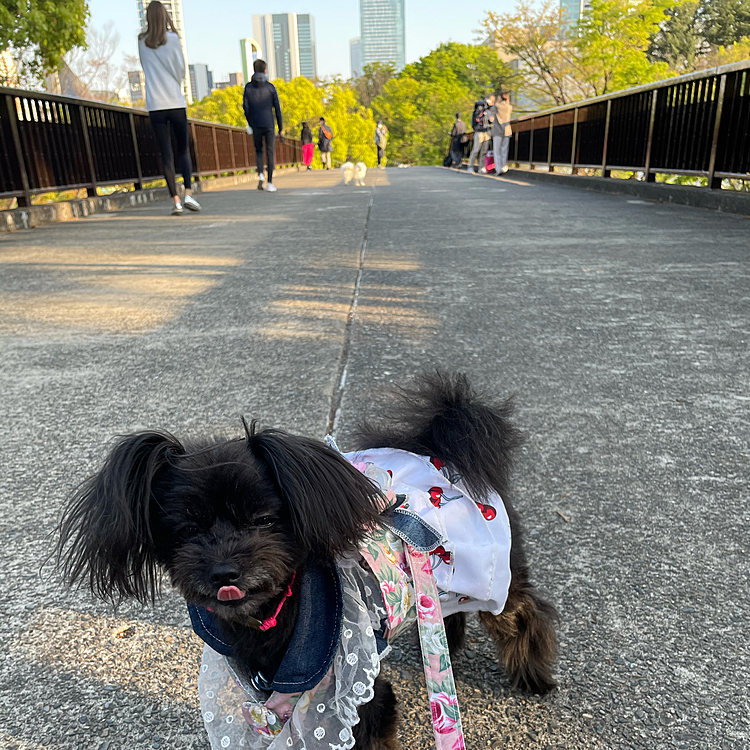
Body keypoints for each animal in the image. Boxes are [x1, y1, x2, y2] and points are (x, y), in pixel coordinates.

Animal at [55, 374, 556, 748]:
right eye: (187, 531)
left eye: (263, 519)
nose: (224, 571)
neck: (274, 618)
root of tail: (440, 454)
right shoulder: (261, 700)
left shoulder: (353, 695)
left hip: (496, 577)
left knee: (524, 613)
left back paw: (534, 676)